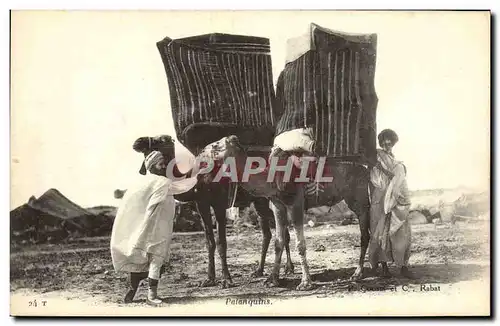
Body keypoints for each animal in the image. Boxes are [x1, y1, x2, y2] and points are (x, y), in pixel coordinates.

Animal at [130, 135, 296, 288]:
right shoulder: (201, 204)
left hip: (266, 200)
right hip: (259, 202)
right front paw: (209, 279)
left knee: (282, 229)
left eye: (161, 139)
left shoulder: (219, 204)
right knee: (268, 233)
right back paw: (259, 271)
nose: (137, 142)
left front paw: (227, 280)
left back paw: (288, 268)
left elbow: (221, 242)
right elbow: (209, 242)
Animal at [203, 135, 372, 290]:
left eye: (217, 144)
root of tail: (366, 170)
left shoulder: (295, 204)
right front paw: (272, 280)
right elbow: (279, 242)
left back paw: (357, 273)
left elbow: (300, 244)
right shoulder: (278, 205)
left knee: (364, 235)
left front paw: (305, 283)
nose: (204, 150)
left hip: (361, 202)